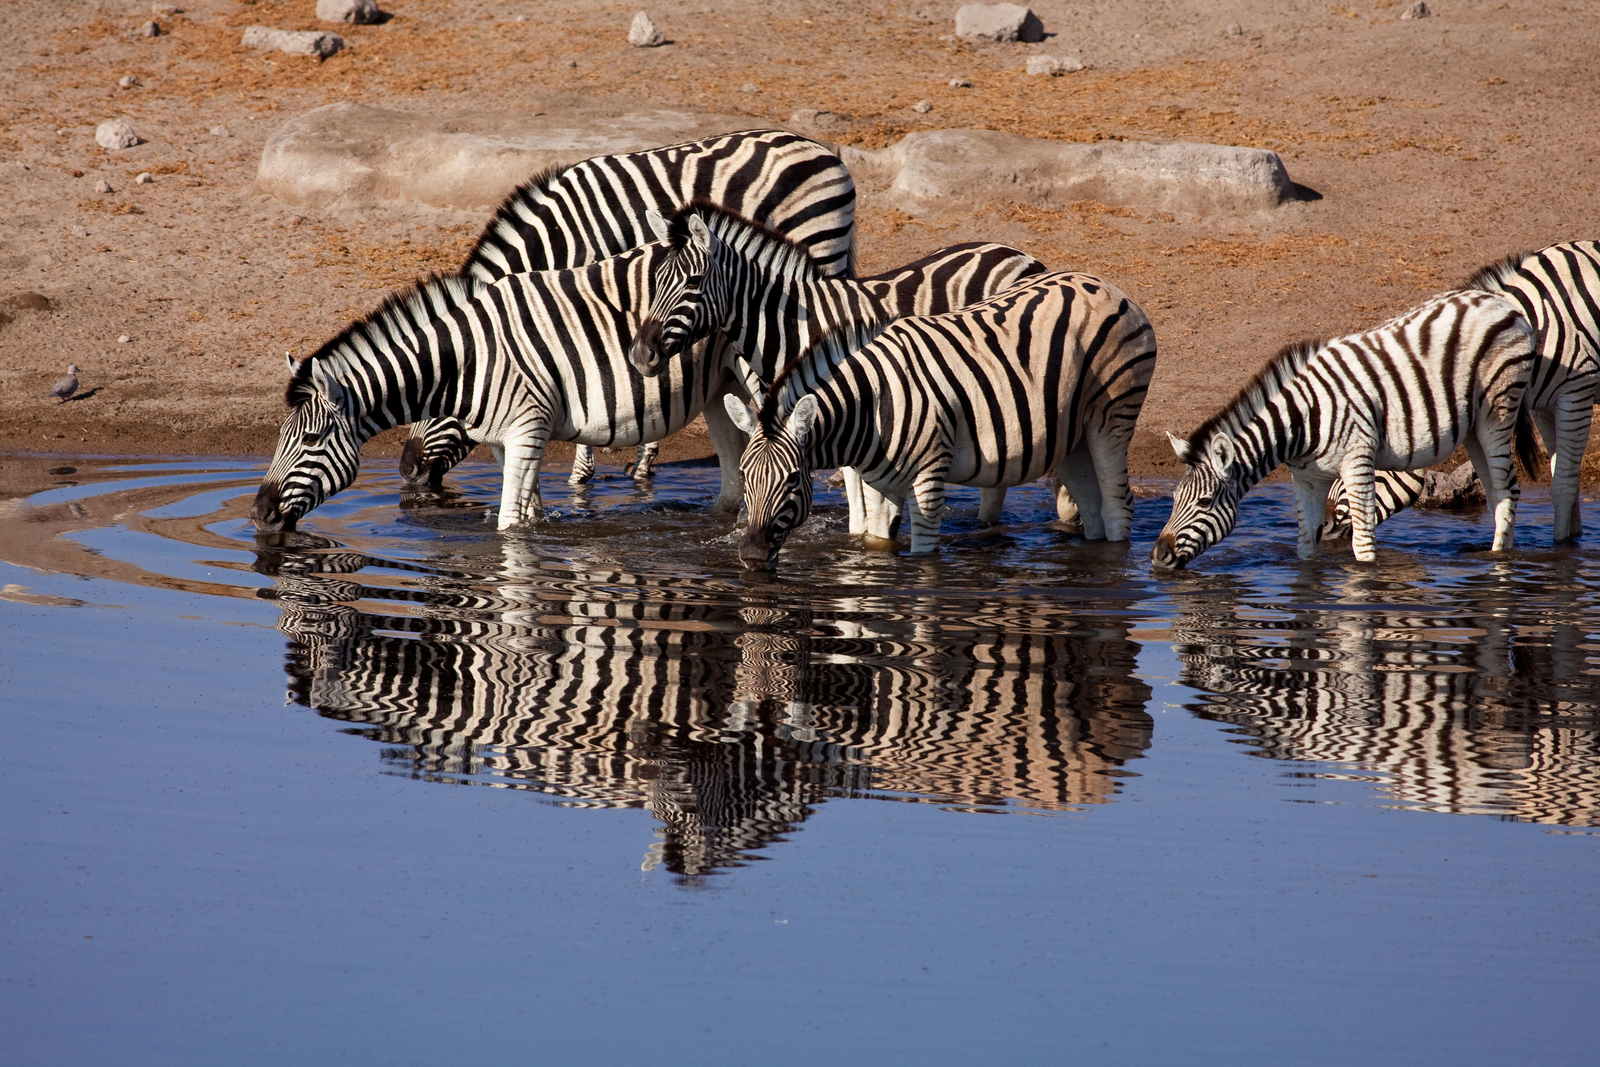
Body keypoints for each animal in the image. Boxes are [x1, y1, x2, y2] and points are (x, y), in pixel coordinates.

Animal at [251, 244, 738, 533]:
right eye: (279, 437)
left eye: (311, 440)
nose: (258, 513)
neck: (470, 360)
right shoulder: (507, 441)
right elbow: (526, 514)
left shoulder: (527, 431)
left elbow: (508, 526)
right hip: (718, 392)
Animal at [404, 129, 857, 491]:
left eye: (441, 395)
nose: (406, 469)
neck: (557, 238)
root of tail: (826, 152)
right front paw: (639, 457)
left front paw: (584, 468)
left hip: (819, 242)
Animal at [719, 271, 1159, 565]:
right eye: (744, 475)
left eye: (794, 478)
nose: (753, 555)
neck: (871, 407)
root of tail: (1107, 285)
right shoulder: (880, 486)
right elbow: (878, 547)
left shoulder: (929, 480)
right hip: (1072, 435)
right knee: (1093, 506)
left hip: (1111, 418)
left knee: (1118, 507)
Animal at [1151, 289, 1538, 568]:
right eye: (1173, 498)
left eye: (1204, 502)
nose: (1157, 556)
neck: (1301, 422)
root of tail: (1502, 303)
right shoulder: (1306, 478)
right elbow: (1306, 544)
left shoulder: (1357, 463)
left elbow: (1362, 543)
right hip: (1472, 429)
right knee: (1494, 495)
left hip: (1497, 413)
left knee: (1507, 491)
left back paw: (1502, 563)